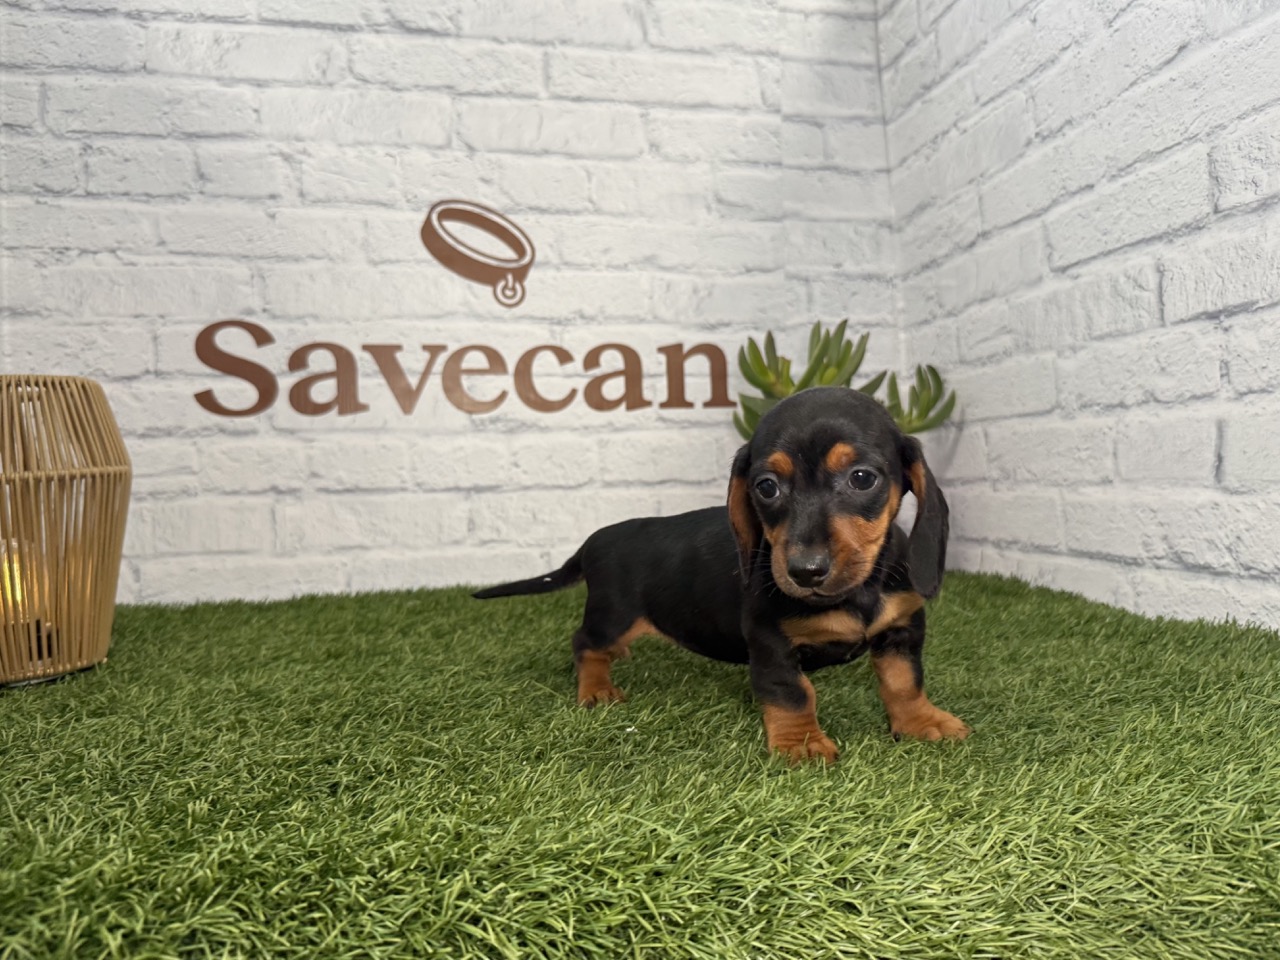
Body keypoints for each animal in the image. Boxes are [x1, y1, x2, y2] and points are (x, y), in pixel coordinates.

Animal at [473, 386, 970, 763]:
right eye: (766, 487)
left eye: (863, 478)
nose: (804, 572)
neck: (856, 592)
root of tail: (596, 539)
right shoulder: (770, 642)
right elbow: (793, 693)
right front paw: (802, 744)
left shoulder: (902, 631)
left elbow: (904, 682)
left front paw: (921, 721)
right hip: (612, 614)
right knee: (585, 644)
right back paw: (596, 688)